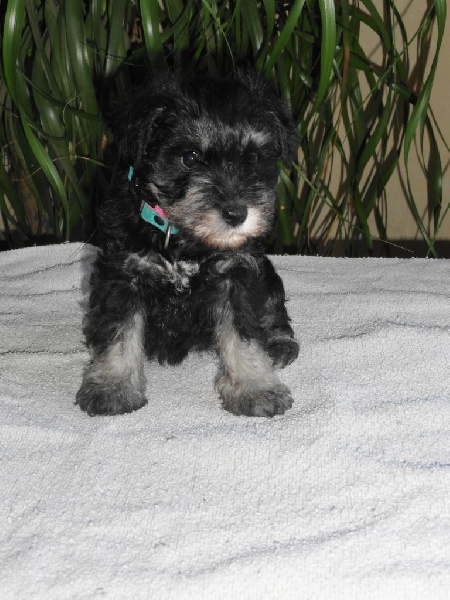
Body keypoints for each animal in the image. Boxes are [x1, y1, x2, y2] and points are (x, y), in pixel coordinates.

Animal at [76, 71, 299, 418]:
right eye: (190, 157)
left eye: (253, 158)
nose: (237, 214)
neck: (184, 238)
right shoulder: (123, 276)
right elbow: (117, 333)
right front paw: (112, 387)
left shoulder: (237, 275)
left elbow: (246, 335)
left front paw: (255, 388)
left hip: (268, 274)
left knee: (274, 308)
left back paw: (279, 342)